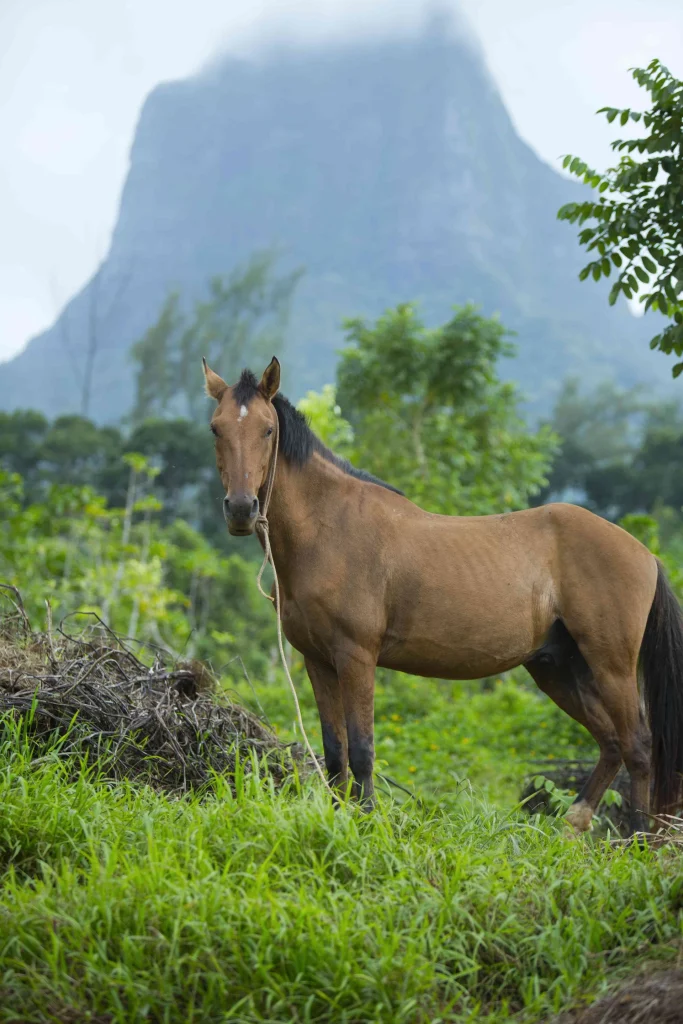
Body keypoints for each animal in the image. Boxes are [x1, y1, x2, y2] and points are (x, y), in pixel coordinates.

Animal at [205, 356, 683, 835]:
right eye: (216, 429)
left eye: (268, 429)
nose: (241, 509)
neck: (328, 527)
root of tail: (645, 554)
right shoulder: (317, 660)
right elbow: (335, 753)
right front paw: (339, 822)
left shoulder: (356, 656)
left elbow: (362, 750)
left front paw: (368, 825)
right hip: (559, 668)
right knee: (611, 743)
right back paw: (576, 825)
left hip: (611, 665)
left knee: (638, 746)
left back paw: (641, 839)